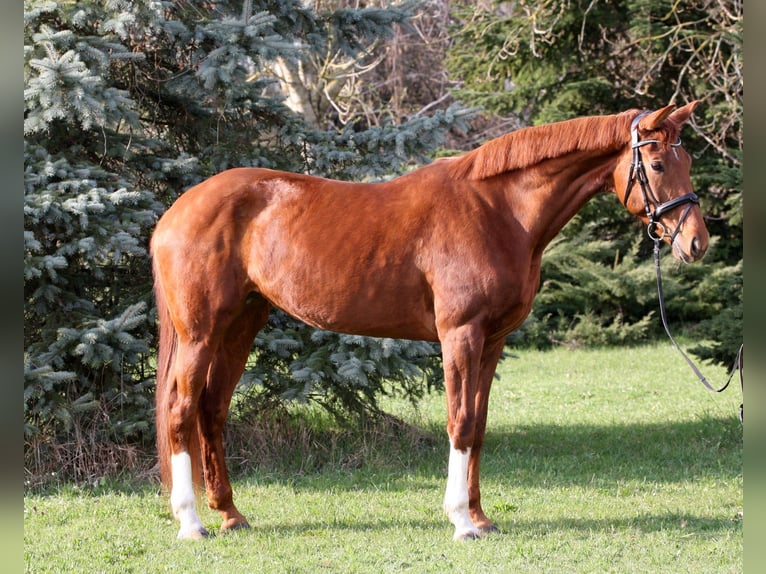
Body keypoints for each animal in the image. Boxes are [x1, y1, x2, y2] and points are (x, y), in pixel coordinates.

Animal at [151, 102, 708, 541]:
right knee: (180, 409)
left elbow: (478, 425)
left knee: (211, 410)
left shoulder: (493, 341)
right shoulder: (460, 335)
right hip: (200, 332)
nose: (696, 242)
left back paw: (230, 514)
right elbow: (458, 421)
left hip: (241, 323)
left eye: (687, 159)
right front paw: (461, 520)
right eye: (657, 162)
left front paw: (481, 518)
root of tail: (176, 212)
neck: (498, 210)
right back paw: (191, 523)